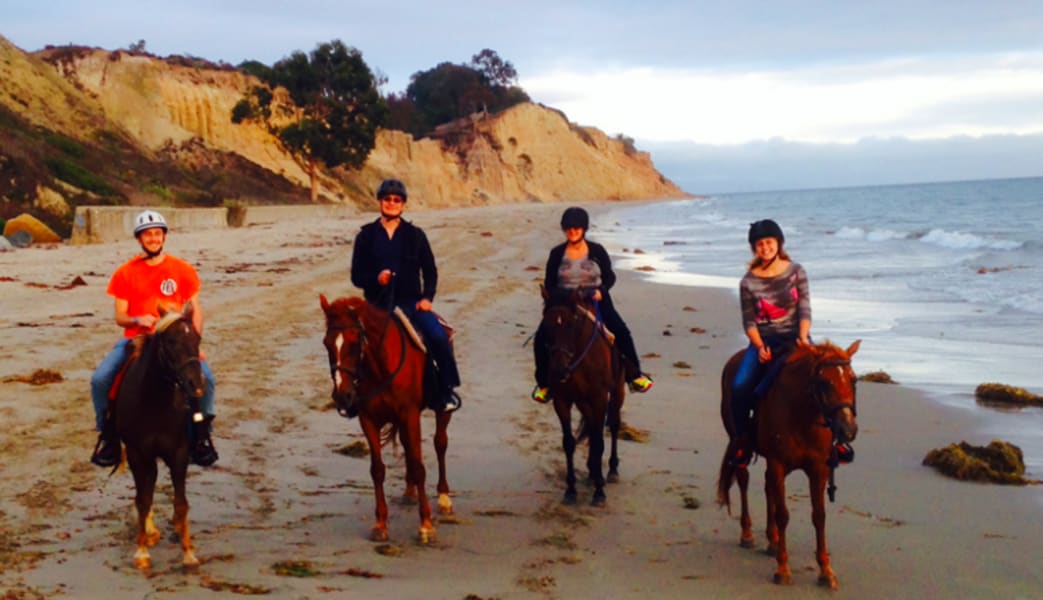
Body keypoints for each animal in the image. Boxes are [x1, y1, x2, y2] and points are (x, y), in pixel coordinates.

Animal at [115, 306, 204, 571]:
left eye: (198, 339)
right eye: (171, 341)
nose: (196, 385)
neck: (155, 400)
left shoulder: (179, 452)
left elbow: (181, 502)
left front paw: (188, 553)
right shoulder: (137, 453)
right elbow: (143, 499)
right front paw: (141, 551)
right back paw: (150, 531)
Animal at [314, 294, 450, 542]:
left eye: (354, 343)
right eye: (326, 343)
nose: (341, 396)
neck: (379, 368)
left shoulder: (409, 413)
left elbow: (419, 466)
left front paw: (426, 524)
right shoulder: (368, 419)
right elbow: (377, 469)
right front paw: (380, 524)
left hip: (440, 410)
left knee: (440, 443)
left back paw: (444, 497)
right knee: (408, 447)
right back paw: (409, 491)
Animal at [542, 292, 621, 507]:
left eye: (572, 325)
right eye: (546, 325)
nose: (559, 370)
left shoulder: (600, 398)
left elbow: (600, 440)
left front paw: (599, 493)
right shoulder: (562, 400)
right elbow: (569, 443)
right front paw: (570, 490)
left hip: (616, 391)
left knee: (614, 424)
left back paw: (612, 470)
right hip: (583, 402)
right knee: (592, 426)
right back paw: (592, 471)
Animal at [713, 340, 859, 588]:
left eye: (853, 379)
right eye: (824, 382)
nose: (848, 429)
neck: (803, 414)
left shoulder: (818, 469)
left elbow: (819, 516)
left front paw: (825, 571)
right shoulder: (778, 463)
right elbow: (783, 514)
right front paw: (782, 569)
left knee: (767, 486)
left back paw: (772, 540)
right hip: (739, 442)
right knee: (743, 479)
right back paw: (747, 534)